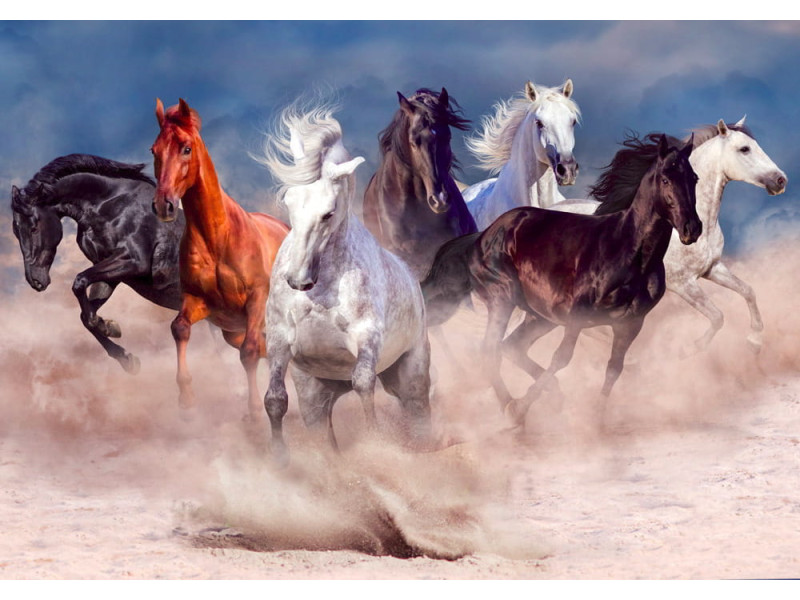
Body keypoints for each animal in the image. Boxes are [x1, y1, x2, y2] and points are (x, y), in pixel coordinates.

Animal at [10, 154, 184, 374]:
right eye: (16, 231)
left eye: (33, 227)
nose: (35, 281)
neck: (110, 207)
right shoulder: (110, 271)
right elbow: (86, 315)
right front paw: (123, 351)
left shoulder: (135, 261)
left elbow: (79, 281)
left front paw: (108, 326)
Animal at [150, 98, 289, 422]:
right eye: (154, 150)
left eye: (186, 148)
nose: (163, 204)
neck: (217, 238)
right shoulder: (200, 302)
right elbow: (180, 328)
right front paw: (186, 398)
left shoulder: (256, 301)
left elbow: (250, 352)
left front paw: (254, 411)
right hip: (231, 332)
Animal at [256, 100, 431, 465]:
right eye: (289, 202)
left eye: (328, 213)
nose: (298, 280)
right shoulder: (279, 339)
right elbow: (275, 399)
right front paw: (279, 458)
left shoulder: (366, 337)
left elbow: (364, 385)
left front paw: (375, 445)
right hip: (316, 395)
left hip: (411, 375)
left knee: (419, 416)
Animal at [422, 135, 701, 427]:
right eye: (666, 179)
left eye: (694, 178)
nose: (692, 228)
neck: (629, 252)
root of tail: (482, 237)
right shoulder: (577, 316)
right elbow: (561, 358)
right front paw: (522, 407)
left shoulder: (630, 324)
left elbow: (614, 368)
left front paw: (596, 418)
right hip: (502, 300)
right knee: (490, 350)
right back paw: (511, 407)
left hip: (540, 316)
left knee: (512, 347)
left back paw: (553, 396)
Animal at [549, 118, 787, 354]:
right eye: (744, 149)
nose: (780, 180)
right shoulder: (683, 284)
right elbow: (717, 316)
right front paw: (691, 349)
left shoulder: (712, 268)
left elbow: (748, 291)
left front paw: (754, 341)